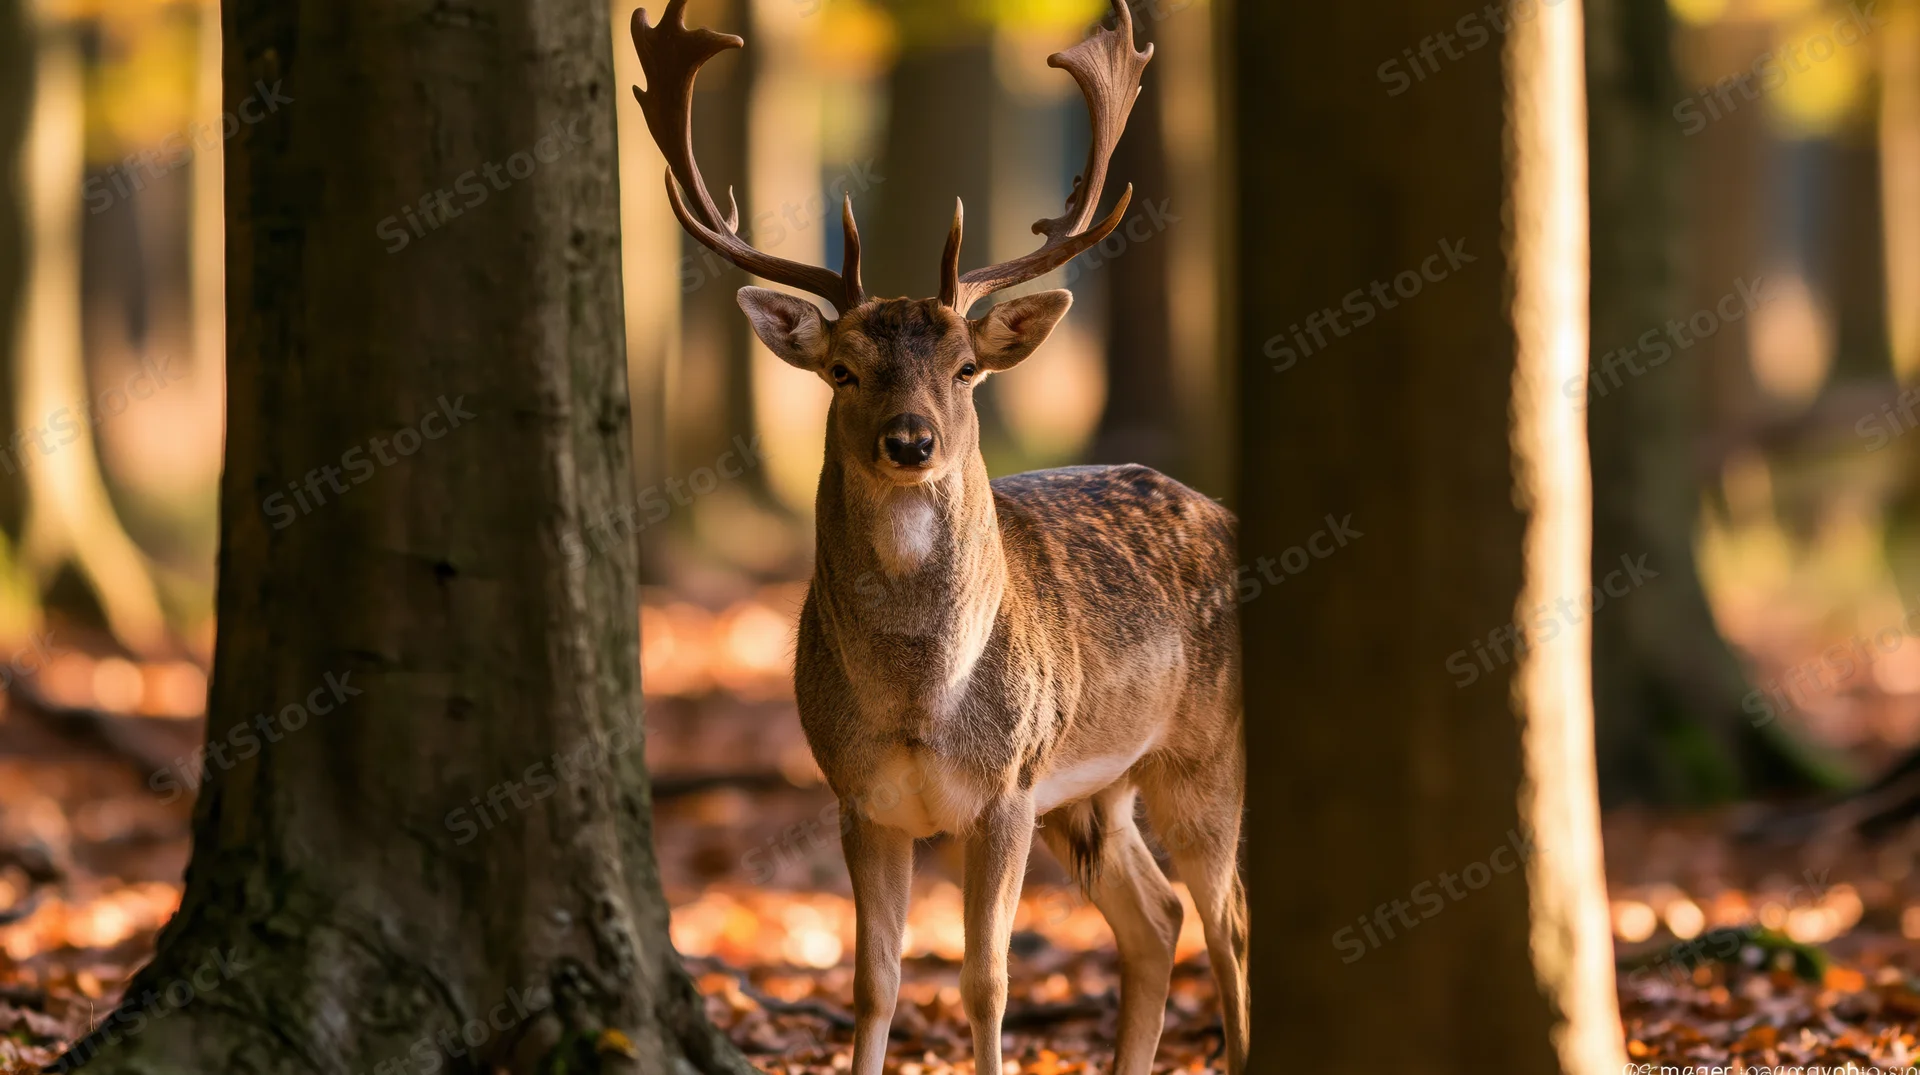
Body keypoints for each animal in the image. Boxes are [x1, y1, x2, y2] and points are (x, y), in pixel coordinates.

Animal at [630, 3, 1246, 1073]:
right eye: (842, 368)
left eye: (965, 367)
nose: (910, 441)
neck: (920, 700)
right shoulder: (858, 794)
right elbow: (874, 981)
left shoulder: (1005, 787)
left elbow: (985, 980)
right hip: (1090, 791)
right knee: (1155, 916)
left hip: (1203, 755)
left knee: (1228, 921)